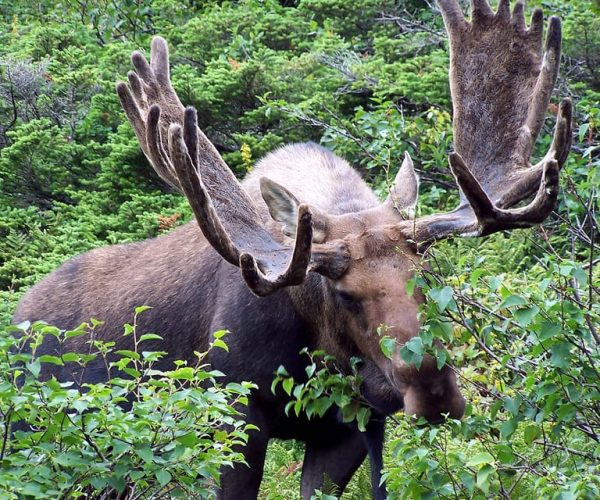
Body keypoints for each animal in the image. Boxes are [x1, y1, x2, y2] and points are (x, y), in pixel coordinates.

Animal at [11, 0, 568, 498]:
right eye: (343, 294)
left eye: (427, 276)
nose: (433, 391)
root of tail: (18, 317)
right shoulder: (231, 416)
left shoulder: (345, 432)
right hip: (38, 436)